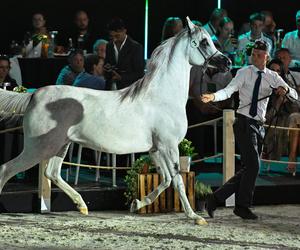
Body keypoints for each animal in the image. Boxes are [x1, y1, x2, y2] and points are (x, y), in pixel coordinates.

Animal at [0, 18, 230, 225]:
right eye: (204, 42)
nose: (227, 62)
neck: (162, 97)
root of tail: (33, 95)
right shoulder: (169, 146)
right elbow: (178, 180)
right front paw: (195, 217)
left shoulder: (156, 149)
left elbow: (165, 180)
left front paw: (137, 204)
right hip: (38, 148)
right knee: (6, 169)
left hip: (60, 145)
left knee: (52, 172)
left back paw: (82, 205)